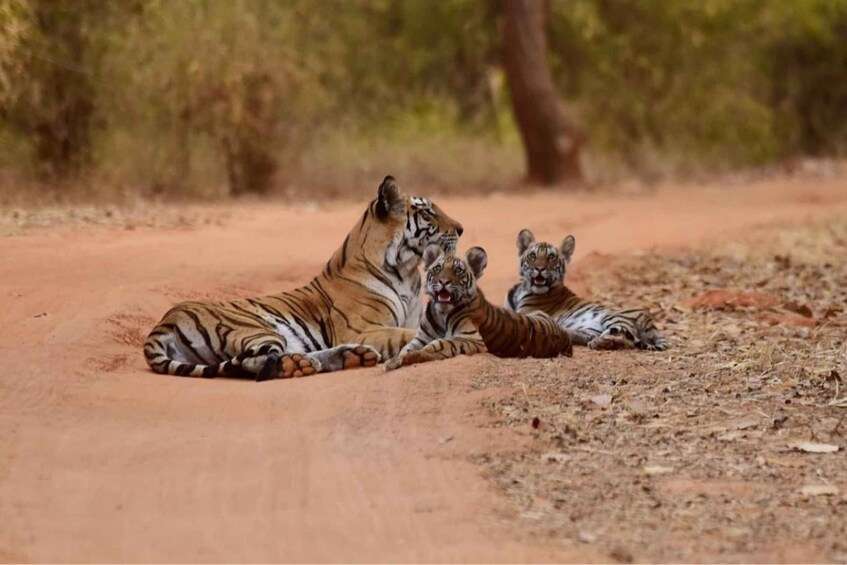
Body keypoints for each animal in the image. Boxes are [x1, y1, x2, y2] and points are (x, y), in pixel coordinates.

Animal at [144, 176, 464, 381]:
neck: (407, 271)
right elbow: (408, 335)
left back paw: (352, 357)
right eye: (428, 213)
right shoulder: (364, 328)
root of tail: (163, 323)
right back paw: (304, 364)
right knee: (255, 363)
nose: (461, 229)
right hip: (255, 328)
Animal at [385, 245, 572, 370]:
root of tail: (564, 335)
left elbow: (440, 343)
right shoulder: (422, 337)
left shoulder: (472, 338)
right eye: (438, 268)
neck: (441, 313)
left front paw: (412, 357)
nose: (444, 281)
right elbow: (406, 348)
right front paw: (394, 361)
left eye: (458, 270)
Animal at [505, 229, 670, 351]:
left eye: (551, 257)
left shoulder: (526, 313)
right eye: (532, 255)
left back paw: (598, 343)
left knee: (624, 339)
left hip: (612, 317)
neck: (522, 289)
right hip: (592, 328)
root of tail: (651, 323)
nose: (539, 268)